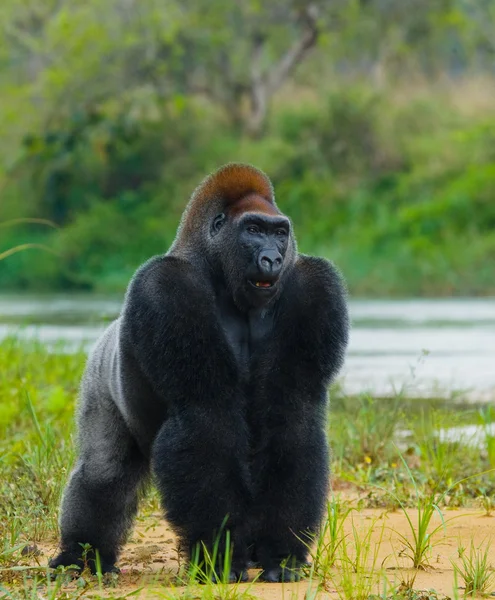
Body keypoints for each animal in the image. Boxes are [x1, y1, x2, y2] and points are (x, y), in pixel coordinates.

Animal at [49, 163, 348, 580]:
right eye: (253, 230)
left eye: (279, 233)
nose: (272, 259)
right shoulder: (165, 285)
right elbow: (206, 418)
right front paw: (219, 554)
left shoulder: (315, 284)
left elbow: (292, 417)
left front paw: (281, 553)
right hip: (98, 375)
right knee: (104, 470)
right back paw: (81, 555)